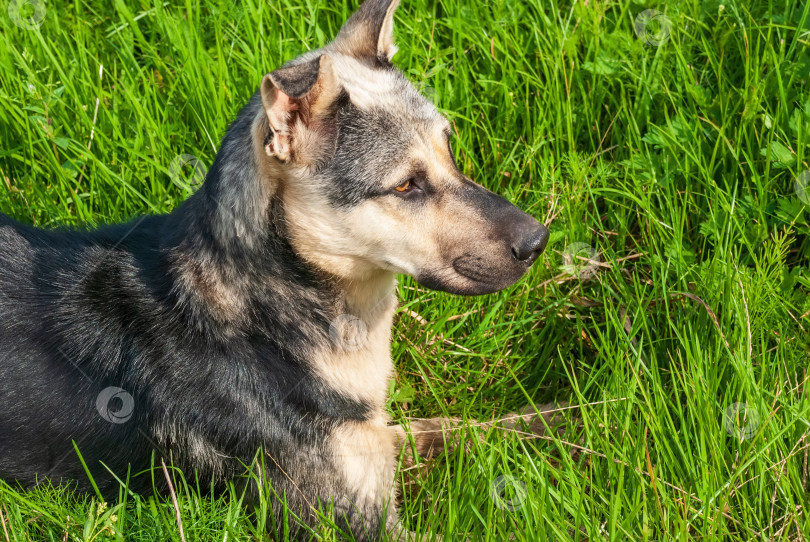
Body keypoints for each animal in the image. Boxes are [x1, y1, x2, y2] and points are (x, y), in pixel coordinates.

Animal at [0, 1, 548, 540]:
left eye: (449, 150)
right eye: (405, 186)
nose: (538, 241)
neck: (268, 311)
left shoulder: (371, 440)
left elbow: (470, 428)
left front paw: (564, 424)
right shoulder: (344, 514)